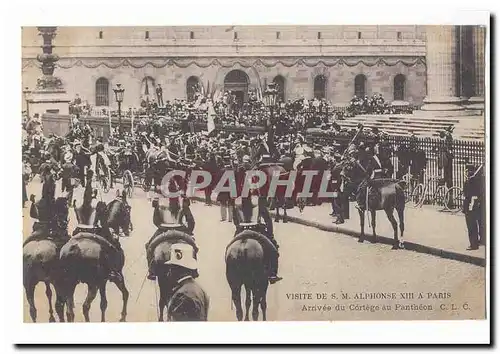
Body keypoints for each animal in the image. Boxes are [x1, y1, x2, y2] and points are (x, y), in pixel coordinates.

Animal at [57, 189, 132, 322]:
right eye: (128, 209)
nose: (128, 230)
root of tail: (74, 249)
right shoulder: (115, 277)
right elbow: (123, 295)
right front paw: (122, 316)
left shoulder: (103, 281)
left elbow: (104, 303)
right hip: (92, 285)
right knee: (85, 306)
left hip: (69, 283)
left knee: (69, 311)